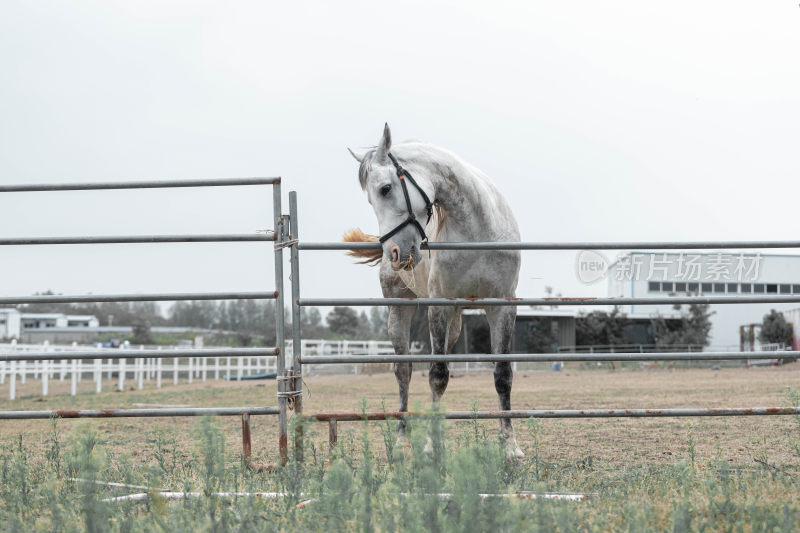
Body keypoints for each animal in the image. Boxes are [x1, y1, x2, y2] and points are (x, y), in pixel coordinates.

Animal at [346, 124, 524, 458]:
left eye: (385, 189)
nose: (394, 252)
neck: (477, 230)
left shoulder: (502, 306)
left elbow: (503, 375)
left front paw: (510, 446)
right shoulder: (438, 307)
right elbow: (437, 376)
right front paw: (430, 445)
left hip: (455, 323)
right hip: (399, 310)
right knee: (403, 372)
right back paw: (402, 441)